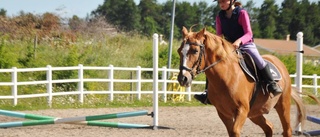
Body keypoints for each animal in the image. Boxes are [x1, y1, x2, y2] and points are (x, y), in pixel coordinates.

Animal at [176, 26, 306, 136]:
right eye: (179, 50)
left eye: (195, 51)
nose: (183, 78)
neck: (226, 76)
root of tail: (279, 62)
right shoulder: (223, 113)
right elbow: (231, 131)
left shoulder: (242, 110)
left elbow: (235, 131)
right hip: (255, 113)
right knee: (269, 127)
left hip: (283, 105)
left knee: (287, 130)